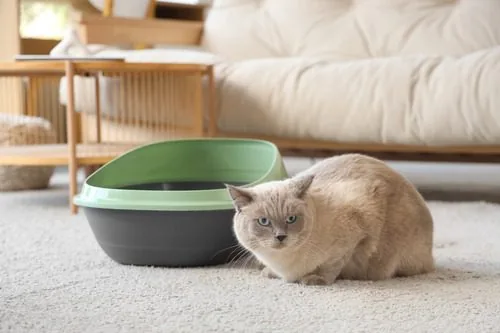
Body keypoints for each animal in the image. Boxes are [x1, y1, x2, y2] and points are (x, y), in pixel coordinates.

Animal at [226, 153, 434, 286]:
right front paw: (269, 273)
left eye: (291, 219)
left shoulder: (354, 238)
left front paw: (315, 280)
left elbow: (330, 268)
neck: (283, 262)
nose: (280, 237)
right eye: (264, 222)